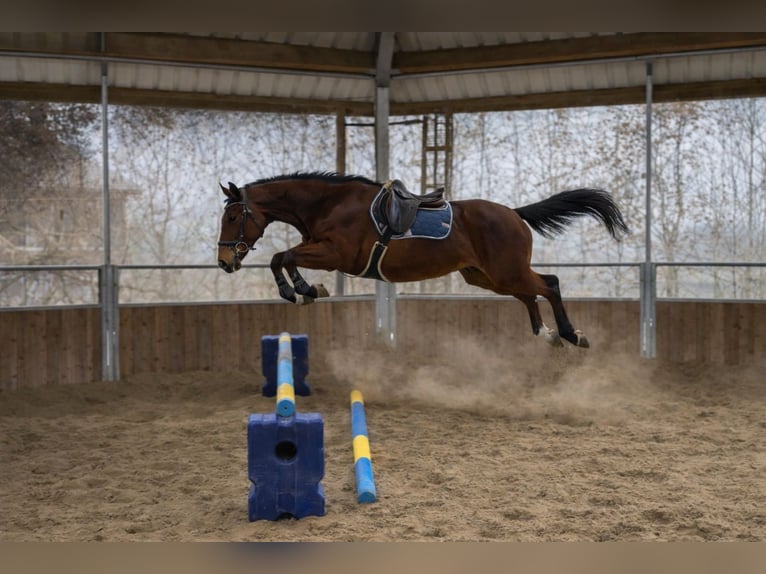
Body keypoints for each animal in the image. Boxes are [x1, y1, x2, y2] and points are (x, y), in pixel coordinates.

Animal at [216, 171, 628, 348]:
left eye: (233, 216)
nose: (223, 261)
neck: (329, 204)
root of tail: (514, 213)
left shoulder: (336, 254)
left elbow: (281, 257)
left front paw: (301, 290)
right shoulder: (325, 251)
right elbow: (284, 257)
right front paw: (308, 290)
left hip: (504, 271)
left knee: (550, 284)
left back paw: (572, 334)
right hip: (488, 276)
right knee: (531, 293)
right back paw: (547, 335)